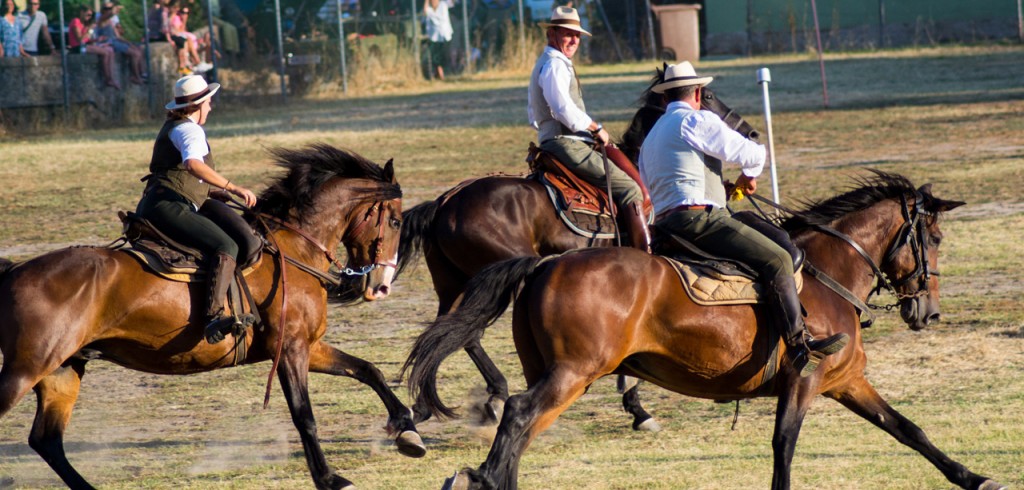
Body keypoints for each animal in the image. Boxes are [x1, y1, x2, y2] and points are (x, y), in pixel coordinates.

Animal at [0, 145, 425, 490]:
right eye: (394, 221)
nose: (381, 285)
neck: (294, 247)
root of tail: (14, 271)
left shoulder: (308, 346)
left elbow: (368, 369)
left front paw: (408, 432)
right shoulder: (290, 349)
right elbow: (304, 416)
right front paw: (330, 478)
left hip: (62, 371)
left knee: (47, 441)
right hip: (26, 369)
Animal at [395, 69, 757, 429]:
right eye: (707, 97)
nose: (750, 131)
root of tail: (445, 203)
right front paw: (637, 407)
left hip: (452, 283)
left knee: (451, 332)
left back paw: (426, 406)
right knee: (466, 332)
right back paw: (488, 397)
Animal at [405, 172, 1007, 490]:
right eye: (935, 238)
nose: (928, 312)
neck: (827, 273)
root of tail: (545, 263)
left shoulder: (846, 382)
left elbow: (909, 430)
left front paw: (975, 477)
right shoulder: (805, 381)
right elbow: (784, 444)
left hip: (557, 373)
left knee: (521, 423)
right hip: (571, 374)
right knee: (519, 414)